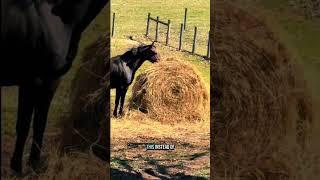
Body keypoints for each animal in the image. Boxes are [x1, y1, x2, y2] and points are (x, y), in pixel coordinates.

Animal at [0, 0, 108, 174]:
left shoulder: (43, 82)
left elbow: (37, 124)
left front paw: (30, 165)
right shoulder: (37, 81)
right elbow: (26, 126)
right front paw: (21, 167)